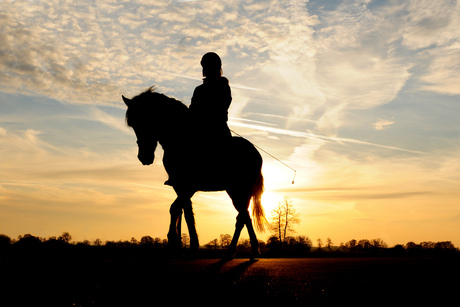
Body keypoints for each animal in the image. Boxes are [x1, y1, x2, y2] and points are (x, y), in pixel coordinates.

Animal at [122, 88, 266, 260]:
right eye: (134, 125)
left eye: (148, 118)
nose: (144, 157)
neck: (181, 139)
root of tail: (256, 153)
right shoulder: (180, 186)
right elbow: (184, 211)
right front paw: (185, 245)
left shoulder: (189, 186)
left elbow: (178, 209)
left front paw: (177, 243)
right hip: (235, 191)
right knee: (245, 216)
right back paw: (251, 250)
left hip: (241, 189)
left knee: (241, 217)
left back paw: (234, 251)